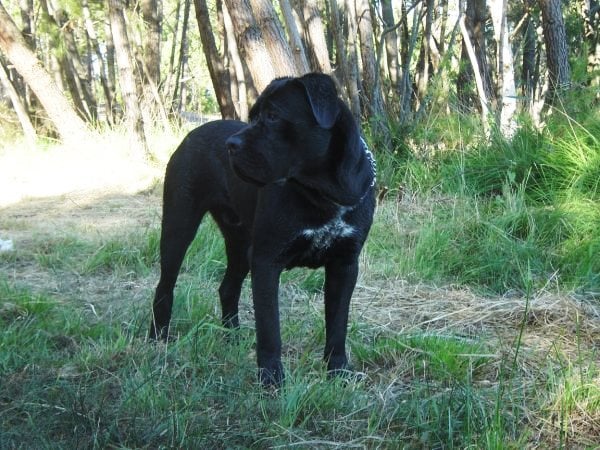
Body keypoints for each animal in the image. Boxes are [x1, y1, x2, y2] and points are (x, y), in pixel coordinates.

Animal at [150, 72, 376, 384]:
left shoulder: (345, 264)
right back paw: (158, 338)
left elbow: (337, 323)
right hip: (178, 227)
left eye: (272, 116)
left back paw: (231, 336)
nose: (231, 144)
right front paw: (271, 379)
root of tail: (192, 134)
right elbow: (270, 328)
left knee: (227, 287)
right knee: (165, 286)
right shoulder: (267, 261)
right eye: (253, 116)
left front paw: (338, 371)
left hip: (240, 244)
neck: (324, 193)